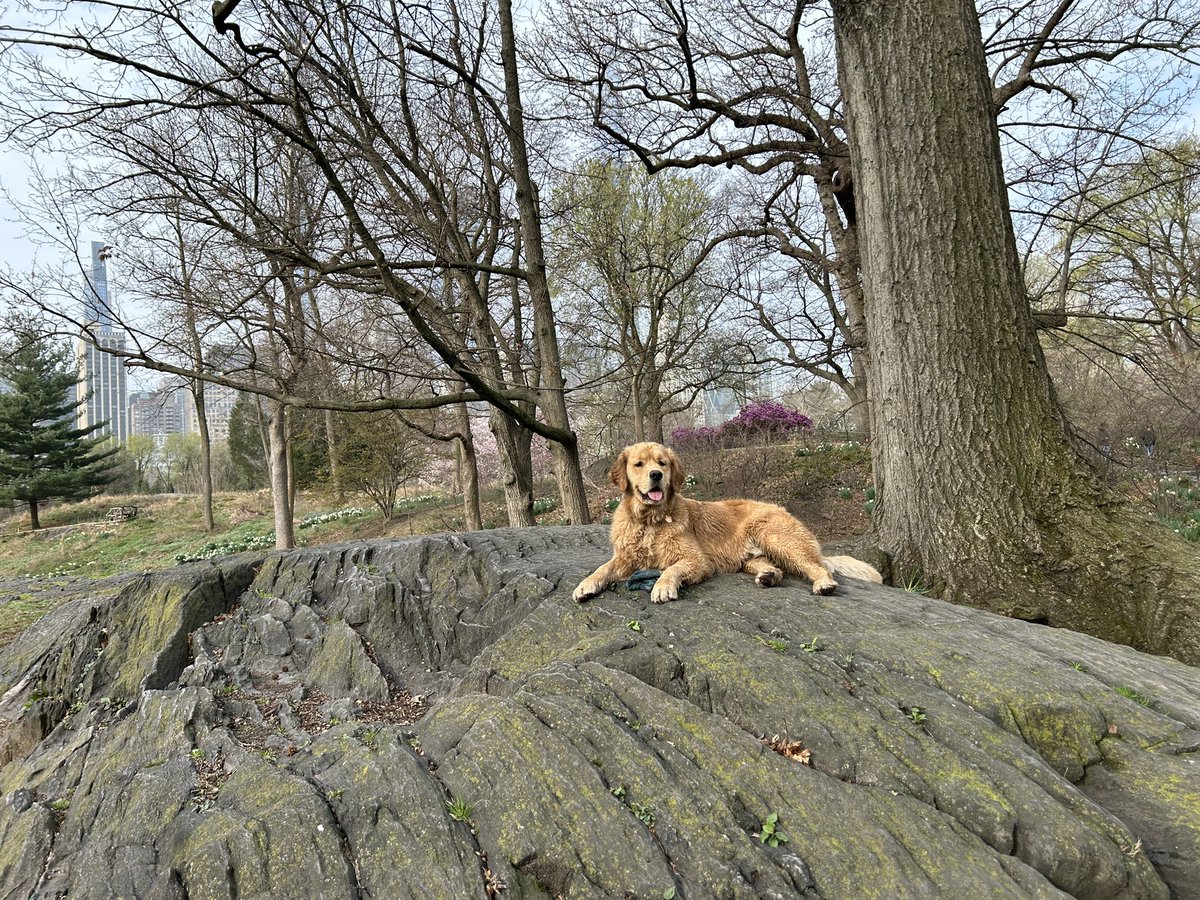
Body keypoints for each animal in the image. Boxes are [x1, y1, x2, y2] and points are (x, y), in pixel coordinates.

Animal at [573, 444, 883, 607]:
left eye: (662, 463)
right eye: (639, 464)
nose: (656, 475)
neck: (650, 521)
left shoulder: (697, 560)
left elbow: (672, 568)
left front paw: (662, 586)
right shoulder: (625, 558)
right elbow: (602, 569)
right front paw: (585, 585)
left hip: (775, 535)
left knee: (816, 566)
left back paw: (823, 583)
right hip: (752, 556)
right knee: (775, 568)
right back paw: (768, 576)